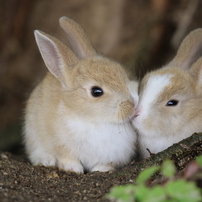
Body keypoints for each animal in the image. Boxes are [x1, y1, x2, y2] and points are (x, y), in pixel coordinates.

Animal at [23, 16, 139, 174]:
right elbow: (66, 156)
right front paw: (73, 168)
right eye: (96, 91)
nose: (133, 105)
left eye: (123, 73)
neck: (93, 121)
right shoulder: (60, 144)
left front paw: (101, 170)